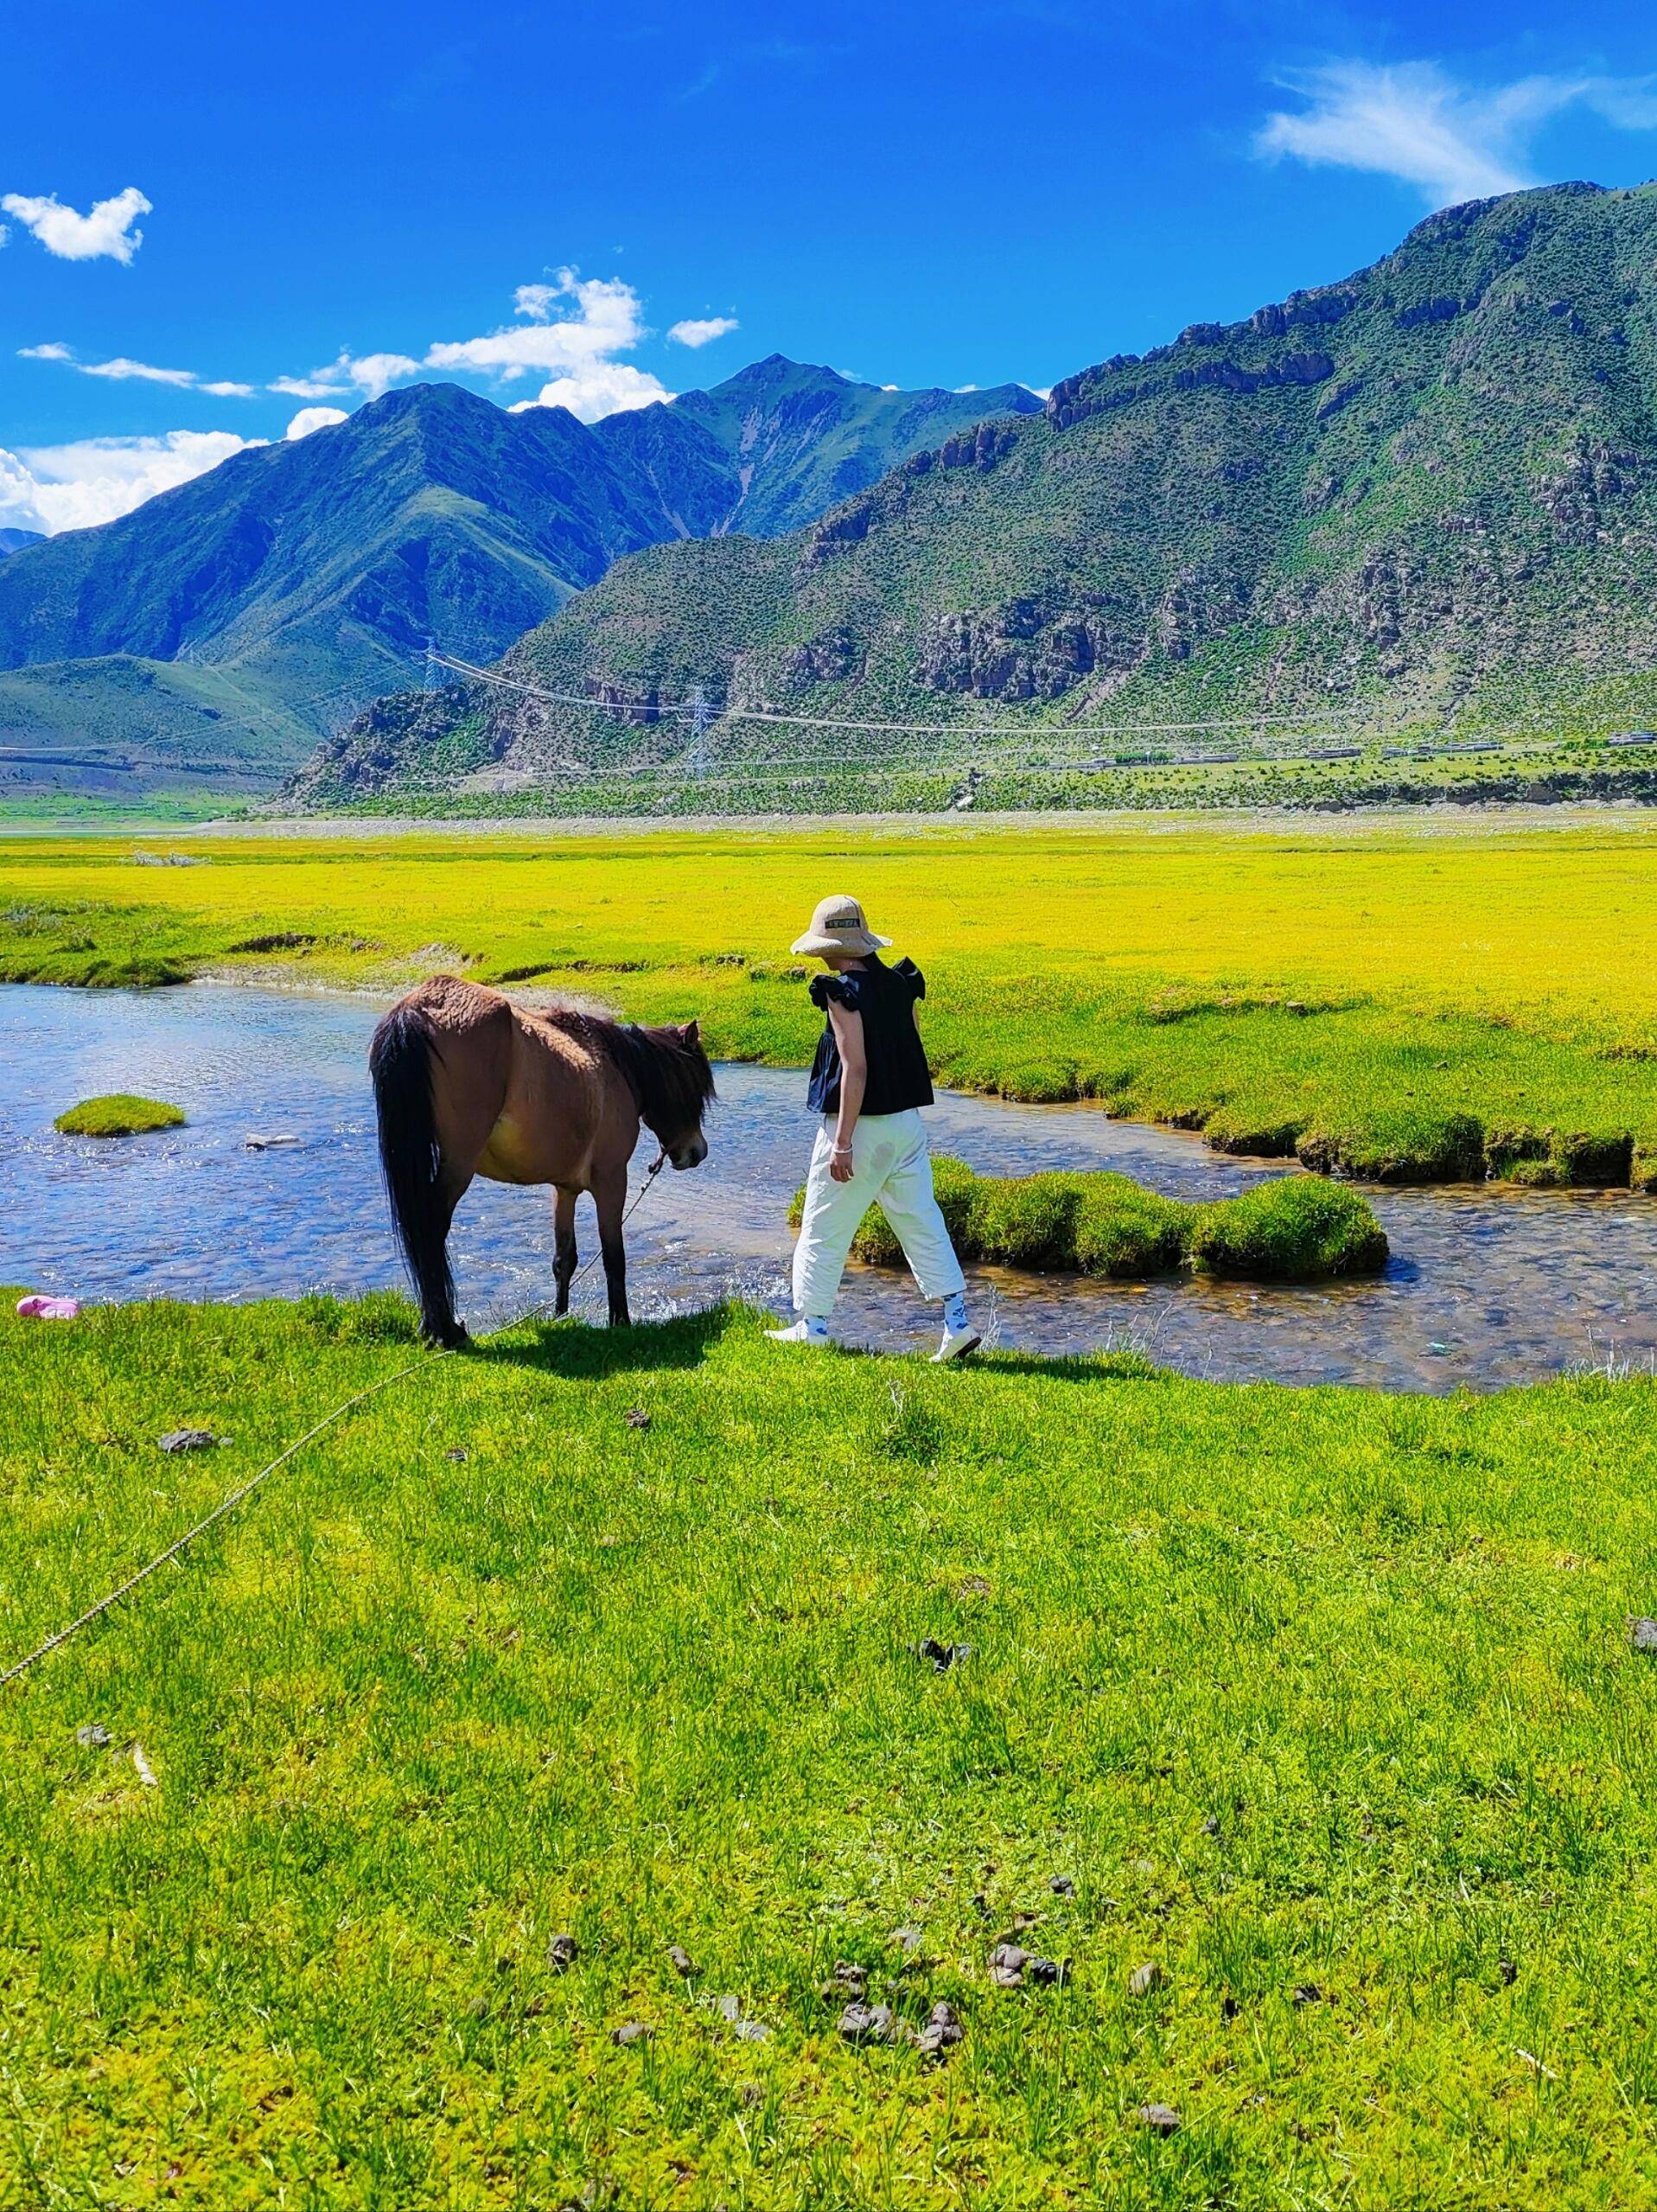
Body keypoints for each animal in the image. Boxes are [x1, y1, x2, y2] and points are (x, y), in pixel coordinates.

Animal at [369, 972, 717, 1344]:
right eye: (694, 1084)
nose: (696, 1152)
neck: (616, 1069)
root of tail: (419, 1009)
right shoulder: (612, 1181)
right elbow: (614, 1256)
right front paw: (620, 1322)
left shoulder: (564, 1189)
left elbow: (564, 1259)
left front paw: (560, 1317)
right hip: (458, 1166)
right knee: (431, 1226)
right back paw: (446, 1329)